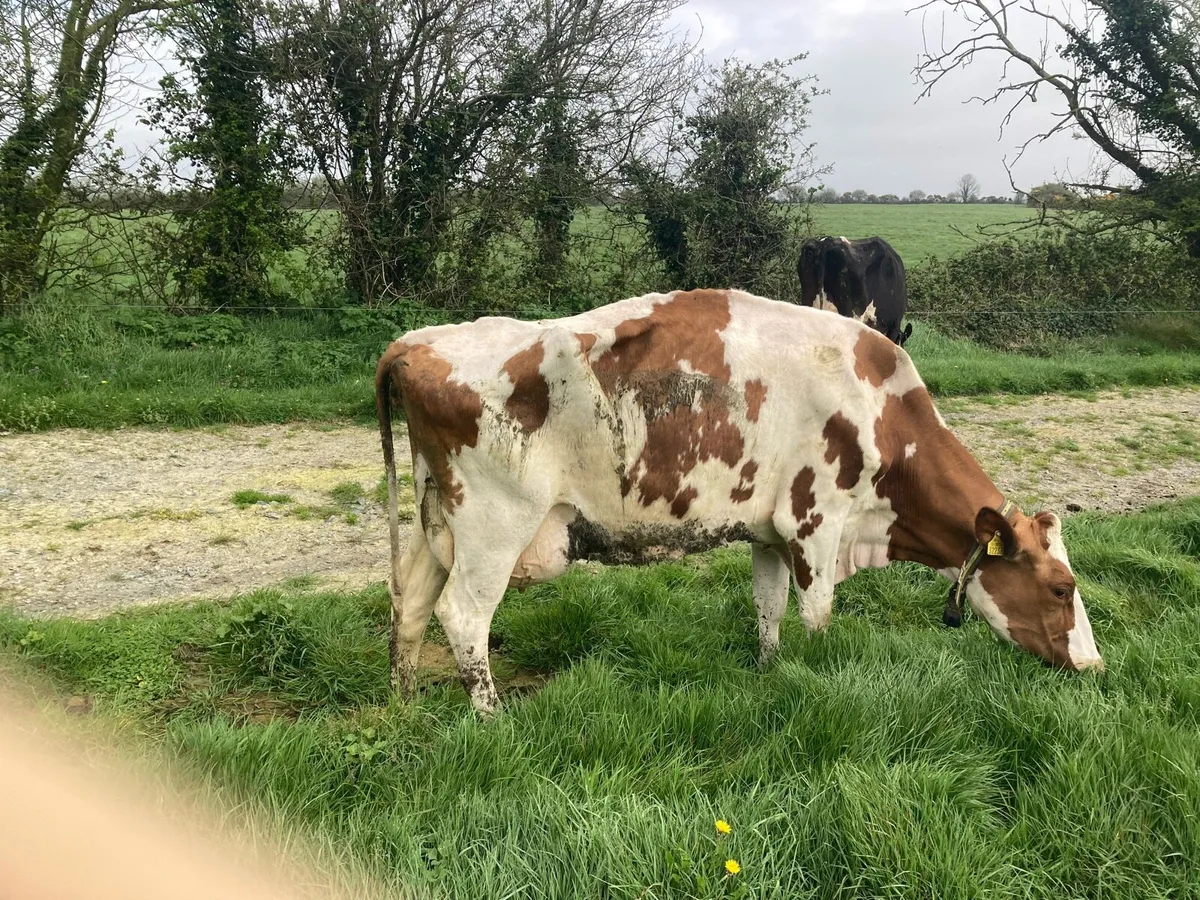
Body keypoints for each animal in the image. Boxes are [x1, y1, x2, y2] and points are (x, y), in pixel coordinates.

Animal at [376, 289, 1102, 714]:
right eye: (1062, 588)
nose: (1094, 664)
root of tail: (417, 341)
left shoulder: (771, 531)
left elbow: (769, 610)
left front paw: (769, 674)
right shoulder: (815, 523)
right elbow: (818, 617)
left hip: (437, 518)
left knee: (410, 603)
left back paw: (405, 705)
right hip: (495, 525)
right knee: (463, 617)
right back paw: (491, 720)